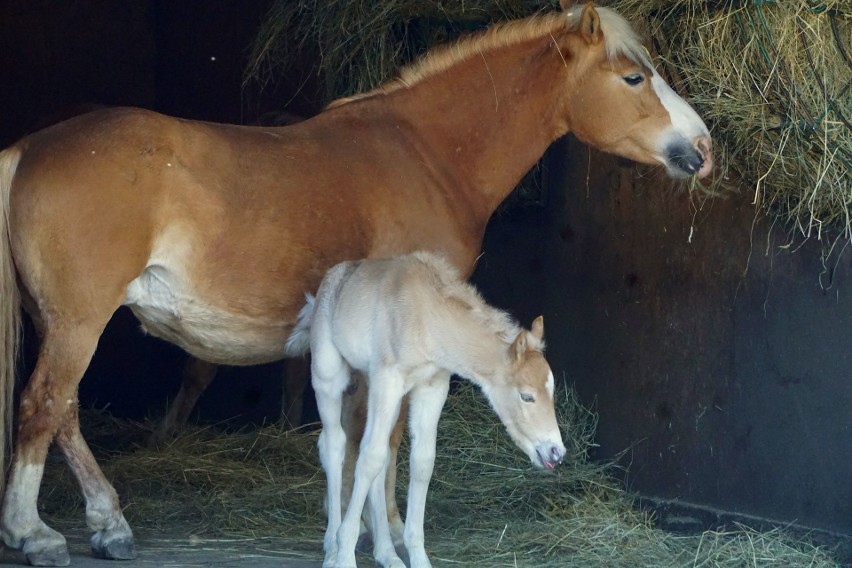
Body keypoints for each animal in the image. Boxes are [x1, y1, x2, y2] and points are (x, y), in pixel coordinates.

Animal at [290, 253, 568, 568]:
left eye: (551, 390)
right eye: (526, 396)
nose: (556, 452)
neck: (426, 319)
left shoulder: (432, 386)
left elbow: (420, 462)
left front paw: (418, 556)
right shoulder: (388, 378)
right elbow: (369, 457)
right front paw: (345, 554)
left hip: (375, 386)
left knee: (382, 454)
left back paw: (387, 553)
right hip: (329, 375)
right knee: (334, 444)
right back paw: (331, 546)